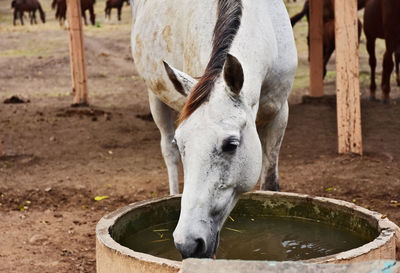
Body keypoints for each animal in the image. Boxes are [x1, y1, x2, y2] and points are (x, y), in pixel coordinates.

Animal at [131, 0, 296, 258]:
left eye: (231, 145)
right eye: (182, 144)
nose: (187, 244)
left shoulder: (279, 112)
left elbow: (270, 185)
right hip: (155, 97)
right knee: (168, 153)